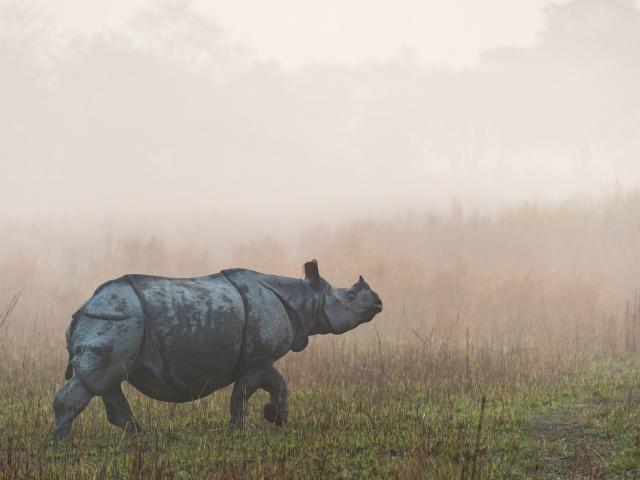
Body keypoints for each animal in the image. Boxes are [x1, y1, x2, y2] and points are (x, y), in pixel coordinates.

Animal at [52, 260, 382, 439]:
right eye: (350, 296)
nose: (378, 302)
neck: (304, 298)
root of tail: (80, 309)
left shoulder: (260, 357)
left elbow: (278, 383)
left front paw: (276, 418)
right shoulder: (259, 358)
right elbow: (243, 393)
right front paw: (238, 430)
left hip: (115, 323)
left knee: (108, 381)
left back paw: (140, 436)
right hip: (116, 320)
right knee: (95, 381)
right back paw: (61, 444)